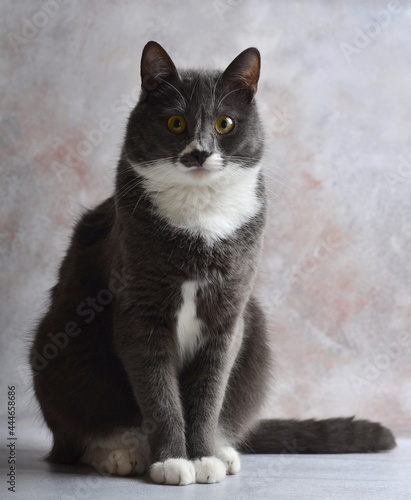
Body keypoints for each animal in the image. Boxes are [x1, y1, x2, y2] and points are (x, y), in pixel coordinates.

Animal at [29, 41, 396, 486]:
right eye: (175, 123)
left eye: (224, 124)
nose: (201, 151)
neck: (201, 221)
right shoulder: (140, 310)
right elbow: (159, 393)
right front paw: (172, 460)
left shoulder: (229, 313)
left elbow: (209, 393)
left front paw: (203, 455)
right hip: (63, 342)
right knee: (78, 434)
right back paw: (119, 452)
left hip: (255, 328)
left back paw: (223, 449)